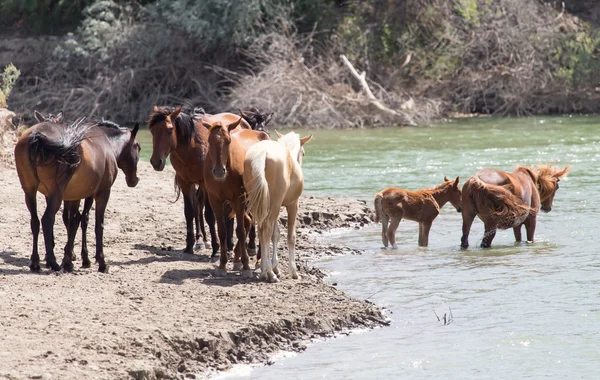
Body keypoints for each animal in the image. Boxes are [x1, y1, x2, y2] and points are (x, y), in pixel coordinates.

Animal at [15, 119, 140, 274]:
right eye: (138, 147)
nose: (134, 180)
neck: (107, 143)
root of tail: (35, 135)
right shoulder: (102, 193)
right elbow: (96, 225)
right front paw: (100, 262)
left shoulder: (75, 196)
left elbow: (73, 222)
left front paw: (69, 260)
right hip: (56, 194)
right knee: (47, 219)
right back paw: (54, 263)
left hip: (30, 191)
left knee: (35, 222)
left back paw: (35, 263)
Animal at [204, 119, 270, 276]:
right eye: (209, 141)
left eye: (228, 141)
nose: (219, 171)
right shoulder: (215, 200)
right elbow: (222, 231)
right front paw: (222, 264)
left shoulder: (239, 199)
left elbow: (240, 231)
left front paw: (246, 266)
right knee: (249, 221)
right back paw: (237, 259)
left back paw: (257, 260)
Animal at [243, 131, 314, 282]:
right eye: (303, 153)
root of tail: (262, 153)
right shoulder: (292, 205)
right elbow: (290, 236)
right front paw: (293, 271)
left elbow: (276, 234)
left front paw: (275, 266)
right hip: (274, 204)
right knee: (266, 228)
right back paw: (269, 273)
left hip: (260, 203)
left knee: (262, 229)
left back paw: (265, 270)